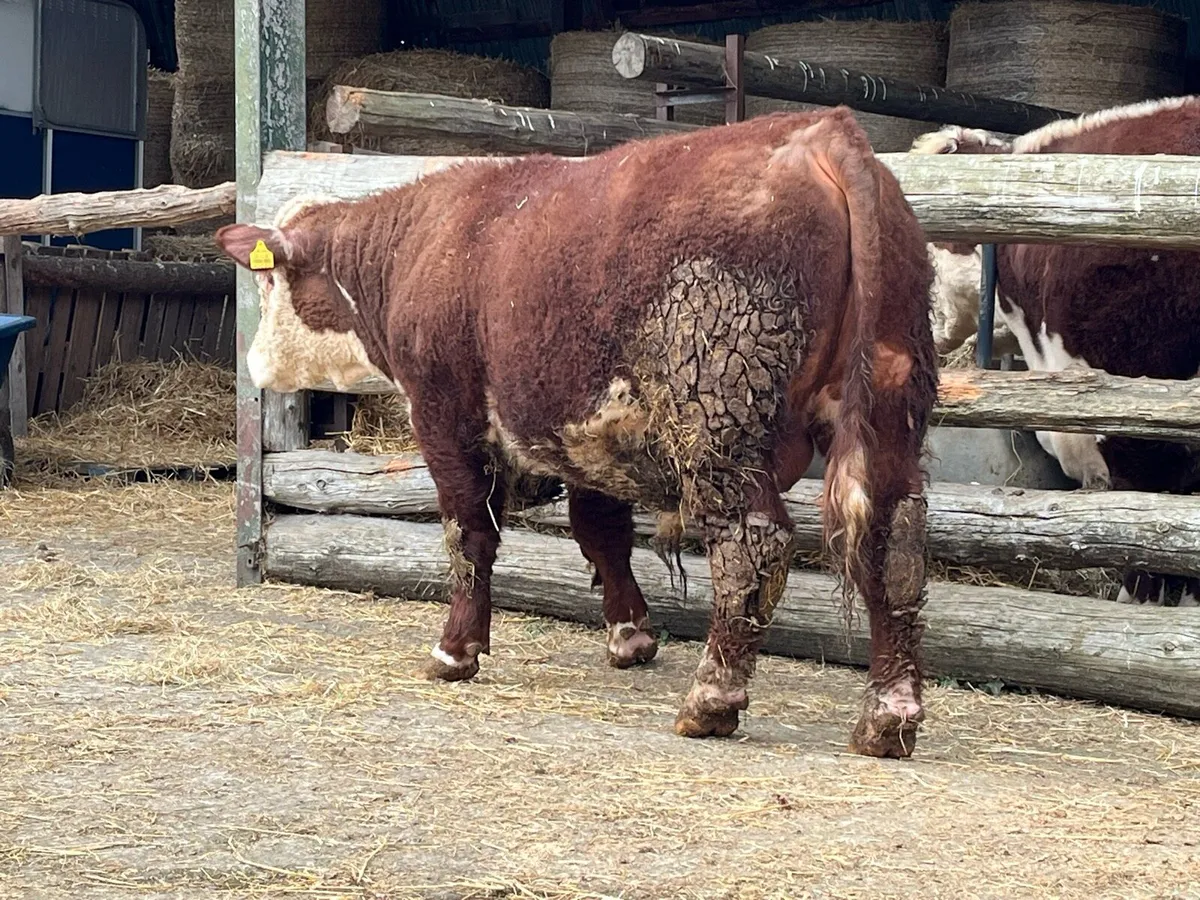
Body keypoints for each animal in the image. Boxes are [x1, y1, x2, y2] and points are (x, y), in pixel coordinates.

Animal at [215, 107, 939, 758]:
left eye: (269, 279)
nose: (255, 364)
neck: (422, 246)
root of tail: (821, 133)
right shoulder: (592, 435)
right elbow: (601, 531)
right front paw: (631, 635)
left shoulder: (445, 414)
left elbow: (468, 533)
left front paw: (455, 650)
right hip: (888, 408)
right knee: (894, 540)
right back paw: (888, 715)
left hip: (722, 425)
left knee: (751, 545)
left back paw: (712, 698)